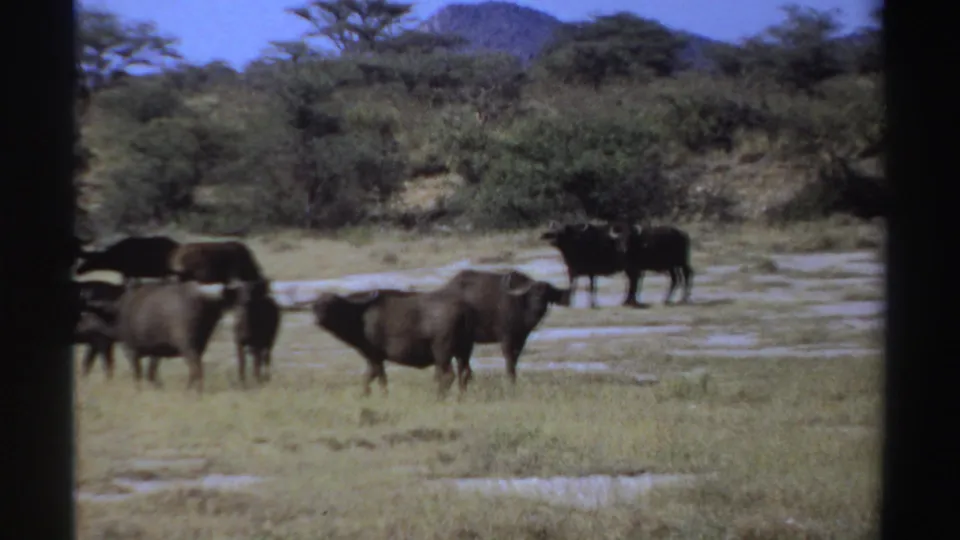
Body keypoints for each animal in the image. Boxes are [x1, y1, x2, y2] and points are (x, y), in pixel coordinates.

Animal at [311, 289, 475, 399]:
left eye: (332, 304)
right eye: (315, 306)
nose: (318, 319)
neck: (360, 315)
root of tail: (463, 310)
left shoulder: (375, 357)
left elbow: (379, 378)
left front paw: (380, 395)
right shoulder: (372, 359)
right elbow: (370, 377)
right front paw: (367, 394)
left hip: (442, 352)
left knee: (448, 375)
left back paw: (438, 396)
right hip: (464, 352)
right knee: (465, 373)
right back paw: (461, 396)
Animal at [436, 269, 571, 383]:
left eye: (548, 294)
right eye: (531, 293)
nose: (539, 306)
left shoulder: (521, 340)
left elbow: (515, 360)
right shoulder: (506, 338)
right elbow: (509, 361)